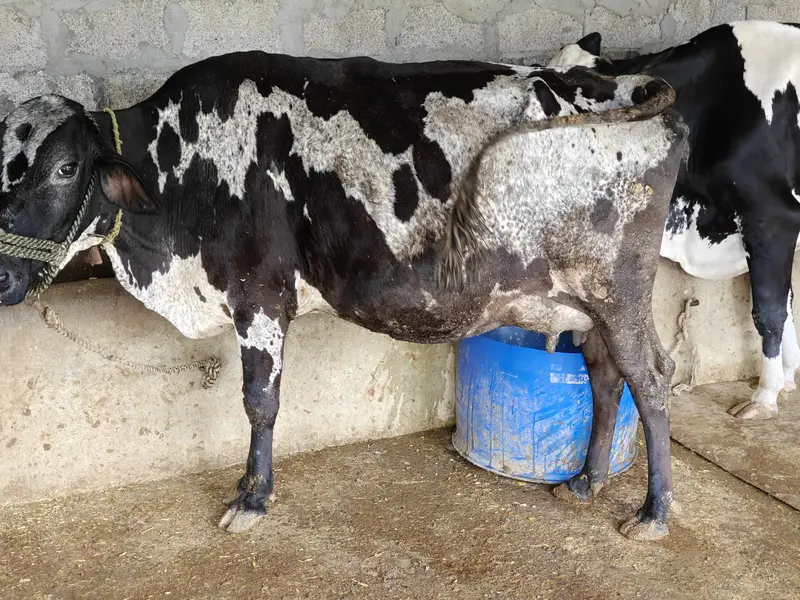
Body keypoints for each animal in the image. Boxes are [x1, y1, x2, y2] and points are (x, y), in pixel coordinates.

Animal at [0, 53, 688, 541]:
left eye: (65, 168)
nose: (3, 277)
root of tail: (628, 87)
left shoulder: (260, 297)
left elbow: (260, 403)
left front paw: (252, 497)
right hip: (584, 301)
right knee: (605, 376)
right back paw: (585, 484)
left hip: (618, 291)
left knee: (652, 378)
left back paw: (653, 513)